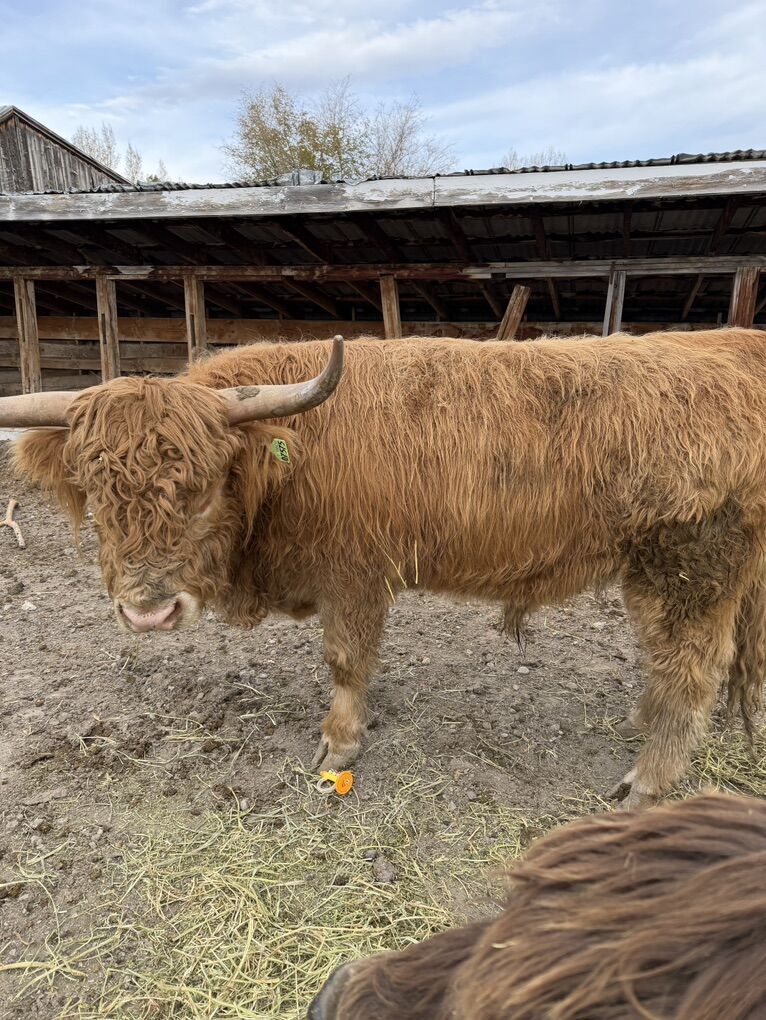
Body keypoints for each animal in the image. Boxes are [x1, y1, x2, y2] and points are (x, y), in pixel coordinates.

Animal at [3, 328, 766, 809]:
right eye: (95, 491)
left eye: (203, 486)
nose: (148, 611)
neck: (290, 462)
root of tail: (736, 343)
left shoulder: (354, 574)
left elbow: (346, 660)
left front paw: (339, 744)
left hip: (689, 568)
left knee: (691, 668)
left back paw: (647, 780)